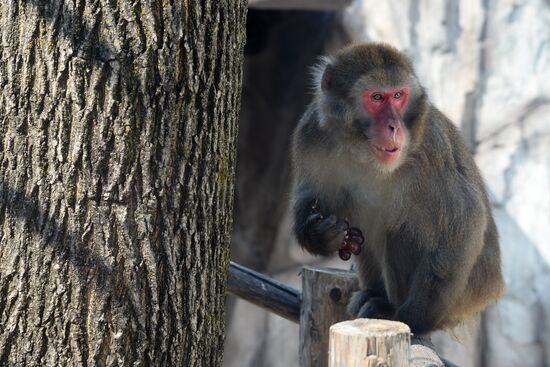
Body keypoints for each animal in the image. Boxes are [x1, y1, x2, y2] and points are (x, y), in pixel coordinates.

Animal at [292, 43, 506, 336]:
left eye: (398, 96)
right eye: (377, 97)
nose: (394, 126)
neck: (360, 150)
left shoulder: (429, 152)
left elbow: (466, 220)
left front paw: (413, 317)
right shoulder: (311, 133)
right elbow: (311, 196)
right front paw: (318, 234)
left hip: (463, 295)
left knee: (401, 230)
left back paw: (391, 307)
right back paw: (374, 294)